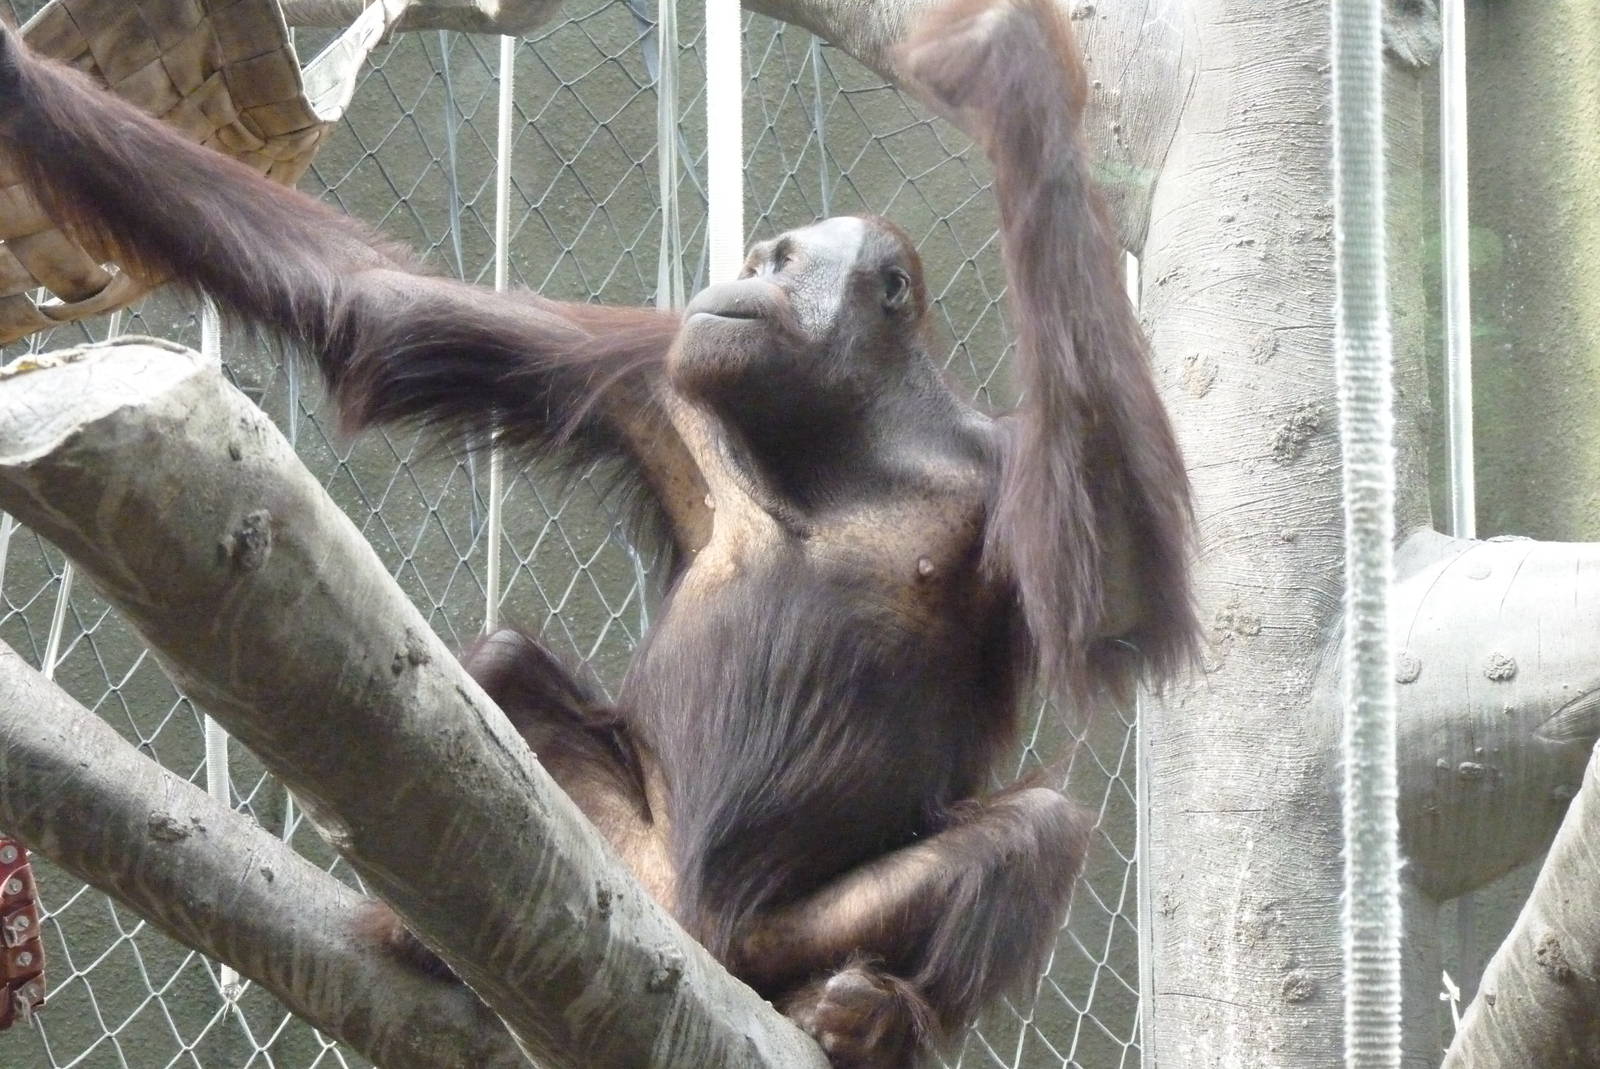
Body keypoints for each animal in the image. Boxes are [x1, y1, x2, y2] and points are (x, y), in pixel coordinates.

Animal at [0, 1, 1195, 1064]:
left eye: (784, 261)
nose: (750, 260)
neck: (842, 437)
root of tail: (696, 926)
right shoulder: (650, 370)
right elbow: (374, 301)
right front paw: (16, 77)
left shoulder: (1002, 469)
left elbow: (1117, 603)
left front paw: (1019, 83)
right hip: (631, 865)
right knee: (499, 672)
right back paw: (428, 934)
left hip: (783, 940)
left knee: (1041, 825)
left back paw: (880, 1019)